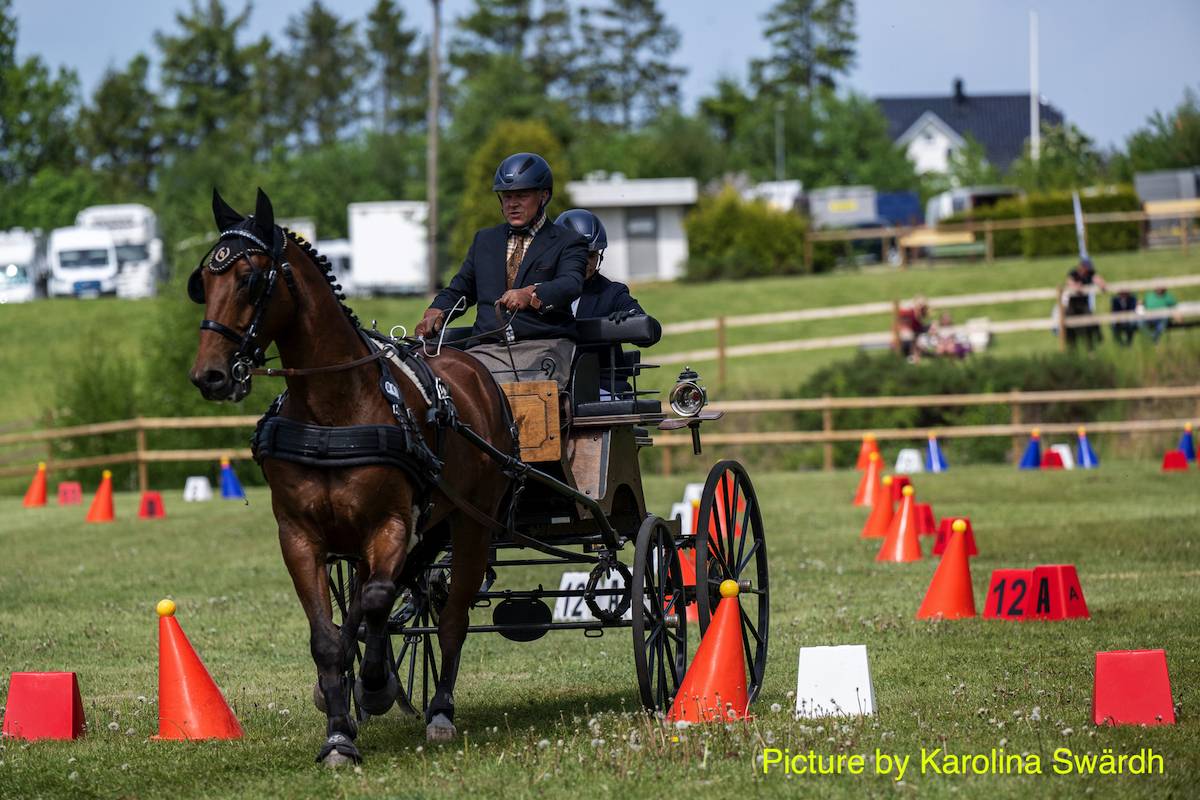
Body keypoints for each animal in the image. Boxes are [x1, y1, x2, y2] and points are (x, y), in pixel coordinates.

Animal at [187, 189, 511, 767]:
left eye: (249, 279)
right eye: (202, 280)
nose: (211, 376)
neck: (332, 411)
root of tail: (473, 368)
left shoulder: (390, 525)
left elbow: (374, 602)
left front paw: (375, 686)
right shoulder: (300, 536)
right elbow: (331, 634)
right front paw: (338, 730)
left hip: (473, 524)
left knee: (450, 615)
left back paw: (439, 711)